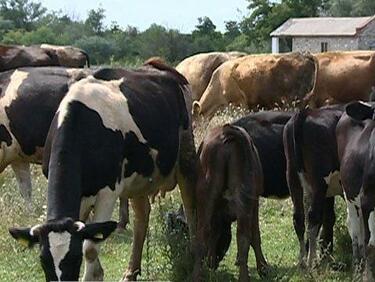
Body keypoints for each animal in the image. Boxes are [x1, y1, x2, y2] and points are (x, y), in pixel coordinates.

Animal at [195, 124, 266, 280]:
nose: (212, 263)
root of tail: (226, 131)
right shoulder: (255, 201)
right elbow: (255, 235)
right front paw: (263, 267)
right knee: (242, 235)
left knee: (205, 233)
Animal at [284, 104, 346, 268]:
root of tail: (306, 112)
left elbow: (329, 218)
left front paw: (327, 253)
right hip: (320, 180)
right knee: (313, 217)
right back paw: (311, 261)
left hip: (292, 177)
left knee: (299, 217)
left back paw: (302, 260)